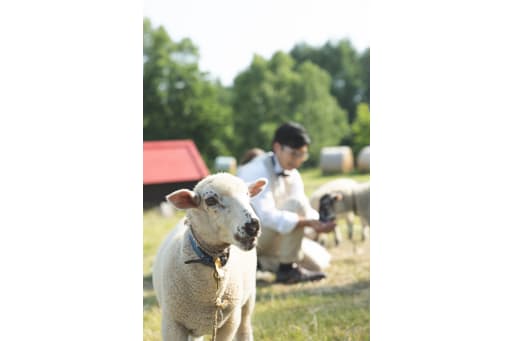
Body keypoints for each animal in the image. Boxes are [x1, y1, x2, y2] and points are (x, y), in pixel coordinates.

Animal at [152, 173, 268, 340]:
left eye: (247, 194)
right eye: (210, 201)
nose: (253, 225)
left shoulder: (230, 322)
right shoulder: (172, 323)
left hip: (248, 298)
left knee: (245, 328)